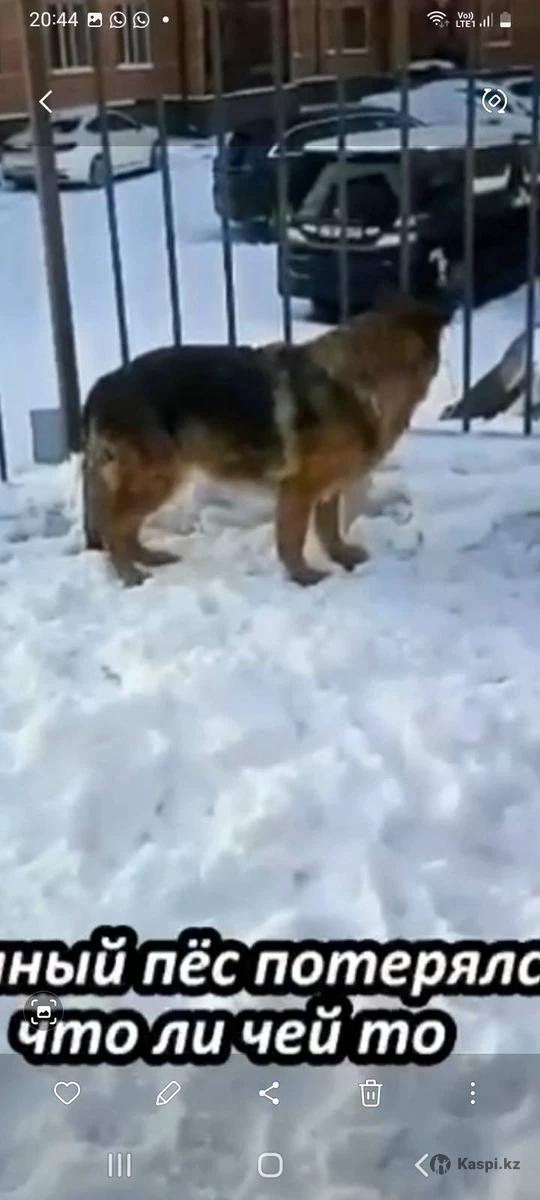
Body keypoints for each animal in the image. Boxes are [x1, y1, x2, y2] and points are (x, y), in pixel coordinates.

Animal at [82, 299, 448, 587]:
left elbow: (329, 529)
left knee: (124, 526)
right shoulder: (299, 490)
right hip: (156, 478)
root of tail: (102, 384)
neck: (365, 380)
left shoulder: (328, 488)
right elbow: (293, 538)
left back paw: (149, 557)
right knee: (112, 525)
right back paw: (130, 574)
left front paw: (341, 556)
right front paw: (303, 576)